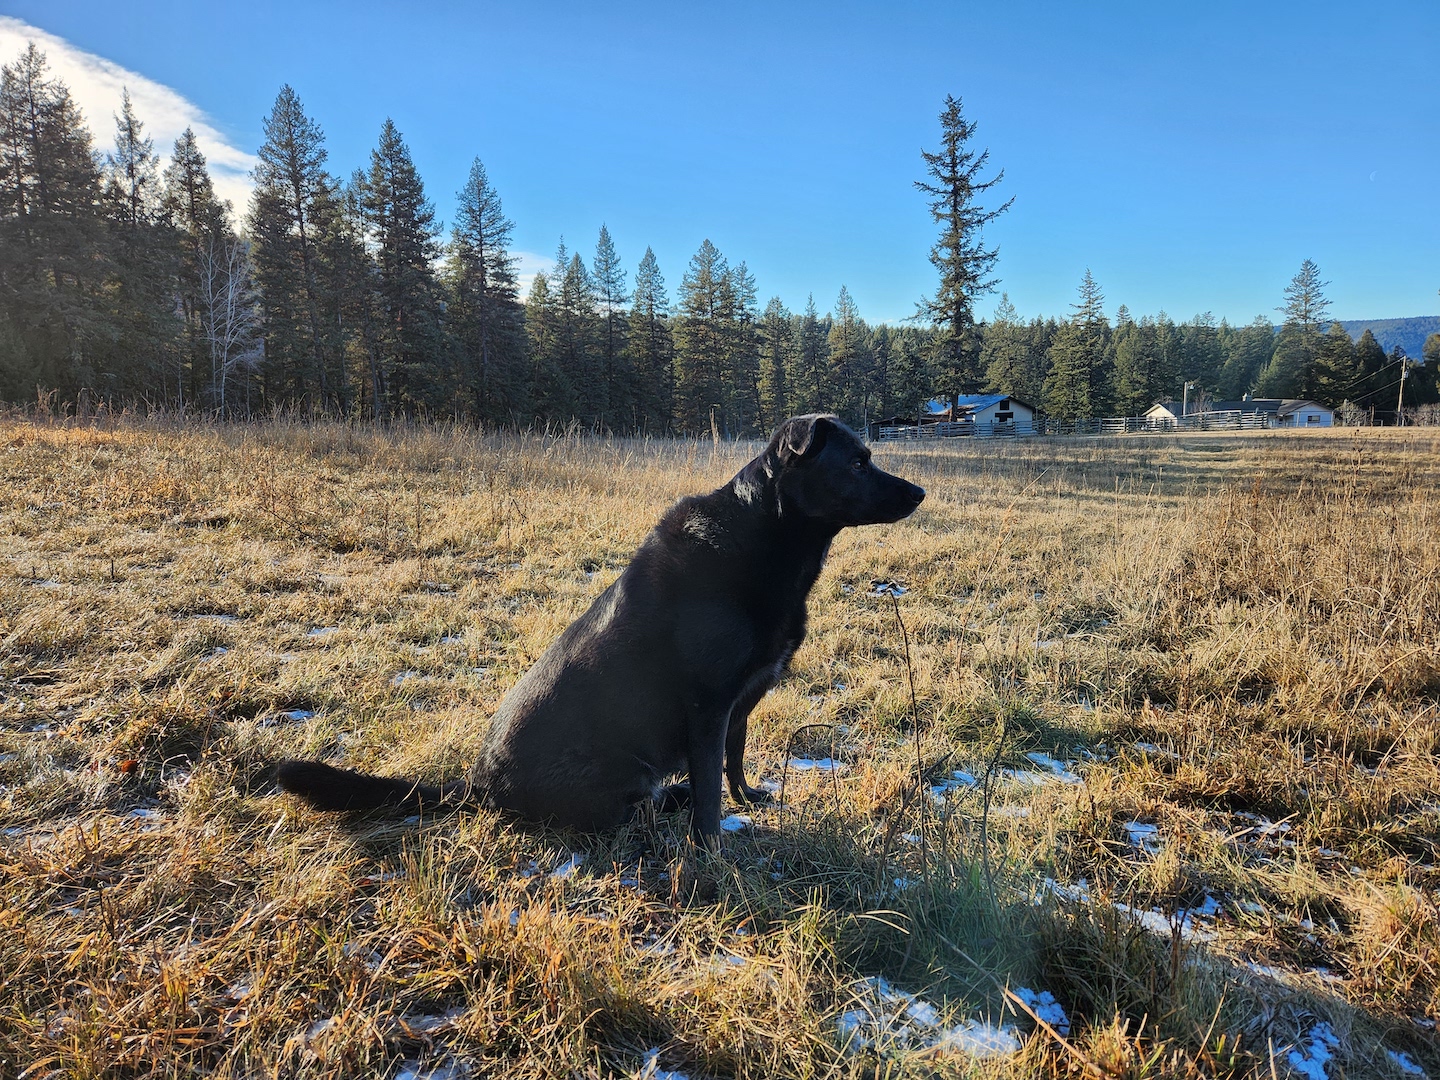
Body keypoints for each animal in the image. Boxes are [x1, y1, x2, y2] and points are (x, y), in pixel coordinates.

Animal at [275, 414, 927, 846]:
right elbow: (711, 787)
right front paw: (714, 848)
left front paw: (748, 799)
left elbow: (734, 760)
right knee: (635, 811)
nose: (920, 491)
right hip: (624, 773)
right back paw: (670, 805)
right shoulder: (707, 706)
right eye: (860, 461)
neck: (769, 537)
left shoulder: (739, 702)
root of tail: (478, 787)